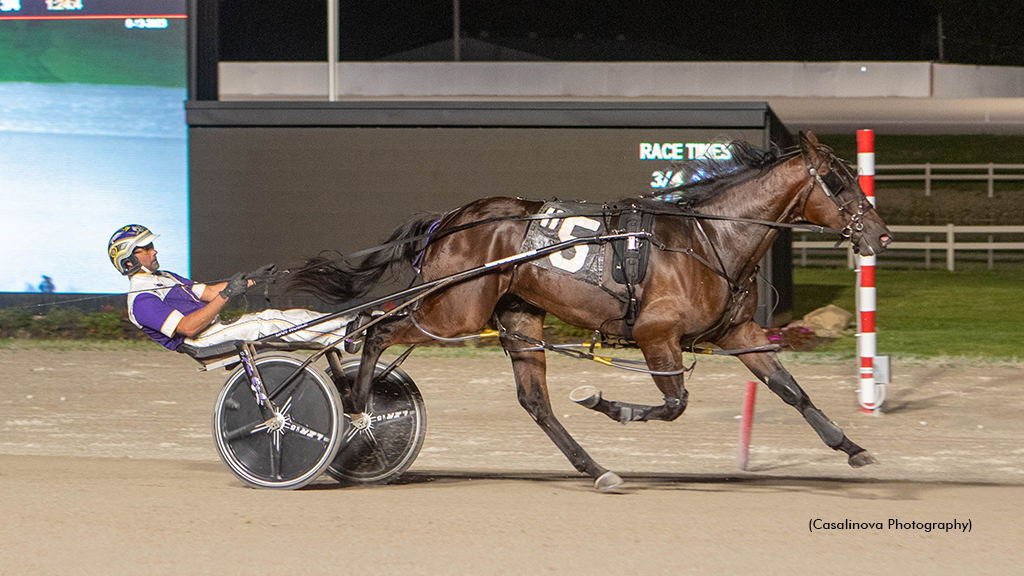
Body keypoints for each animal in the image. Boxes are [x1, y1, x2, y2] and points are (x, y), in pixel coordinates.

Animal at [289, 131, 892, 492]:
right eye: (839, 183)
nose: (881, 235)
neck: (710, 239)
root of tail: (451, 220)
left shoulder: (736, 331)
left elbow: (792, 392)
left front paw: (854, 449)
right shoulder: (655, 335)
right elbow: (672, 405)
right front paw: (605, 402)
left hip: (517, 317)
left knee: (535, 401)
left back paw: (596, 469)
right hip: (451, 310)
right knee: (373, 329)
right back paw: (356, 406)